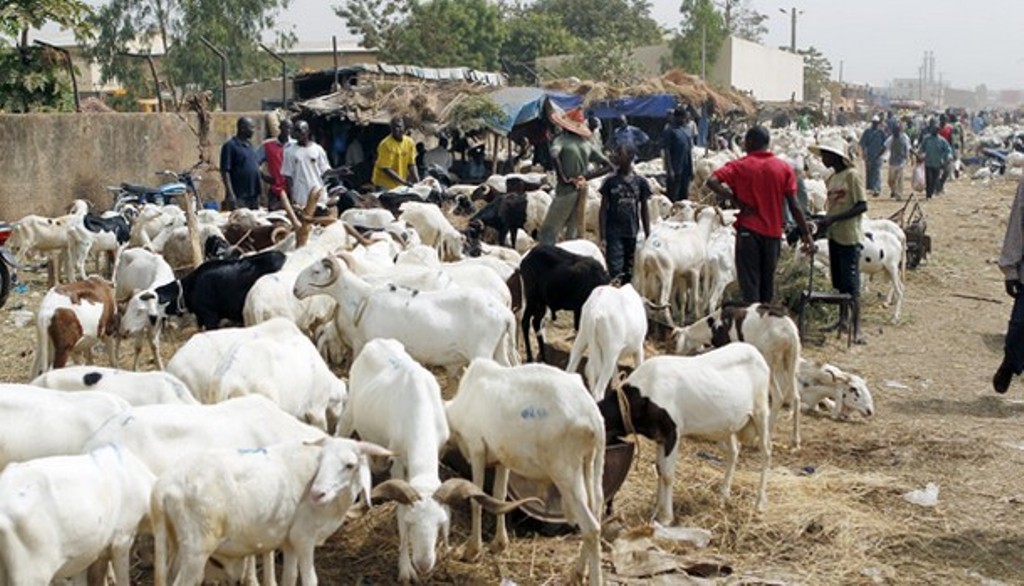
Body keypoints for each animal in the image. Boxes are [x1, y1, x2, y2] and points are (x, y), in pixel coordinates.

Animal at [446, 358, 602, 581]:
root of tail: (593, 417)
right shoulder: (501, 459)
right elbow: (499, 496)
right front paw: (499, 544)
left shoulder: (476, 449)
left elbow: (476, 499)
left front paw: (472, 551)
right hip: (591, 463)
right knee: (596, 511)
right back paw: (578, 571)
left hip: (566, 471)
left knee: (591, 527)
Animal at [598, 344, 770, 522]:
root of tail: (754, 351)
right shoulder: (660, 437)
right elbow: (659, 469)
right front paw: (657, 509)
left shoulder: (672, 433)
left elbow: (667, 474)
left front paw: (666, 517)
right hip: (728, 426)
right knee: (734, 452)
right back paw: (723, 497)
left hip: (761, 411)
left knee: (766, 453)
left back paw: (759, 504)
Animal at [675, 301, 802, 448]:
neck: (715, 323)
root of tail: (789, 331)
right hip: (791, 361)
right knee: (796, 397)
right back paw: (795, 440)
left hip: (769, 362)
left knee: (778, 396)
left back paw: (765, 437)